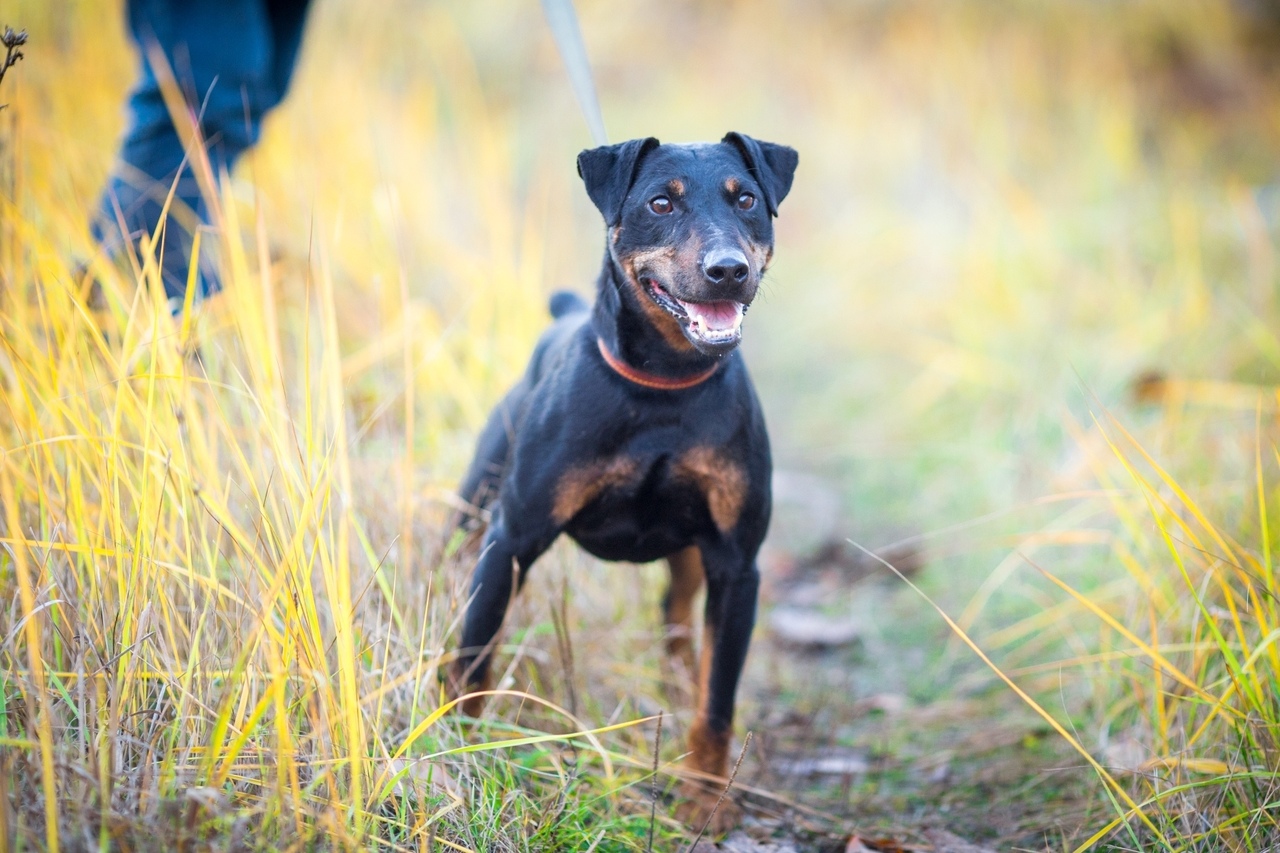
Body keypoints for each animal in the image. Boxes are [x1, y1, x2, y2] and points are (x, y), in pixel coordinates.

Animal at [448, 133, 788, 829]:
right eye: (661, 202)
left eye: (747, 200)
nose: (728, 270)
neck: (664, 383)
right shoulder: (511, 540)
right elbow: (475, 657)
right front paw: (460, 753)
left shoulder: (736, 565)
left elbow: (717, 701)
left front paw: (704, 799)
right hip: (475, 505)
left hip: (692, 559)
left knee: (678, 621)